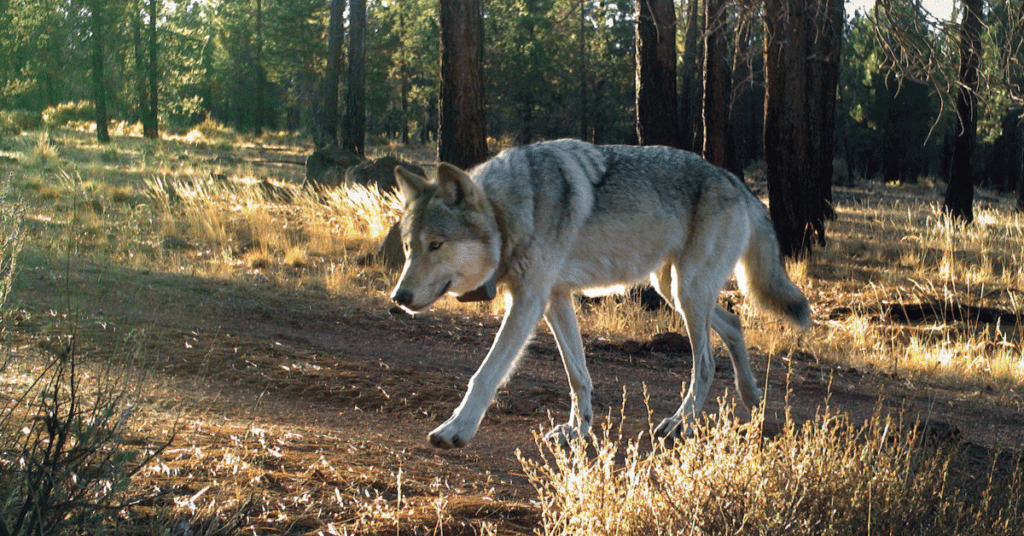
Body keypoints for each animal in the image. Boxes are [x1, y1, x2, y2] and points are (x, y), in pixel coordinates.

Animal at [390, 139, 810, 449]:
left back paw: (681, 423)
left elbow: (486, 373)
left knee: (705, 363)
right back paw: (752, 396)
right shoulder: (555, 299)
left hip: (687, 291)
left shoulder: (528, 301)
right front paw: (578, 430)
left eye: (436, 245)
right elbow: (578, 374)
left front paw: (455, 430)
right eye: (409, 247)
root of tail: (736, 182)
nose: (399, 297)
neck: (509, 211)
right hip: (674, 290)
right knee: (734, 324)